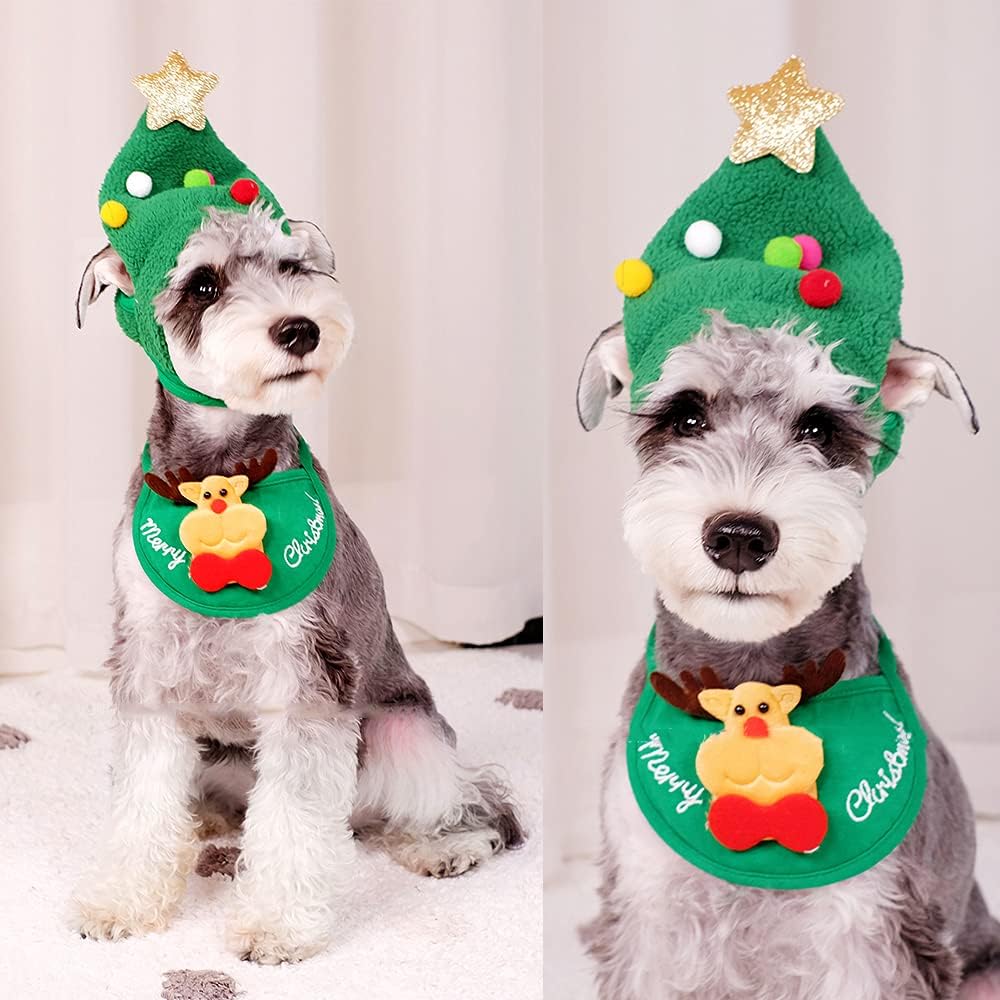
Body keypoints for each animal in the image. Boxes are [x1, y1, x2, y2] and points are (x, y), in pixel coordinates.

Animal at [72, 201, 524, 960]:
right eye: (202, 285)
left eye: (293, 266)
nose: (300, 328)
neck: (221, 479)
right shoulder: (150, 667)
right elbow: (140, 800)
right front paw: (122, 903)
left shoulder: (308, 676)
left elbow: (294, 818)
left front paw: (274, 925)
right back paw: (206, 823)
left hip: (404, 735)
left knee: (463, 801)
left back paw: (444, 846)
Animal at [576, 314, 996, 1000]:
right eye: (686, 415)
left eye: (819, 427)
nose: (739, 537)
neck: (752, 673)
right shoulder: (649, 908)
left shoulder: (870, 926)